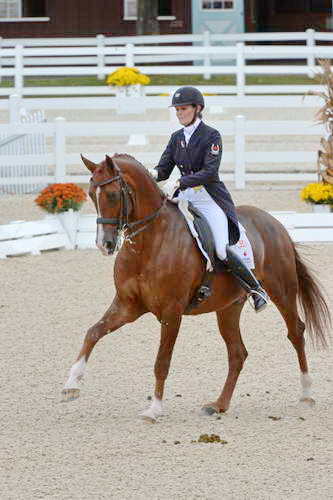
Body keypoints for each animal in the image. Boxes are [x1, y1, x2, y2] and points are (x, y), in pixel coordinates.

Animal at [62, 154, 330, 420]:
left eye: (112, 195)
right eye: (90, 194)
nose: (104, 244)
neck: (149, 243)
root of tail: (275, 222)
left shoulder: (171, 313)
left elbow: (162, 361)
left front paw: (154, 409)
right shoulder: (128, 306)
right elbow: (93, 332)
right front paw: (71, 385)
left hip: (282, 291)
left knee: (296, 333)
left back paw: (306, 395)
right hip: (228, 307)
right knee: (237, 353)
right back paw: (219, 404)